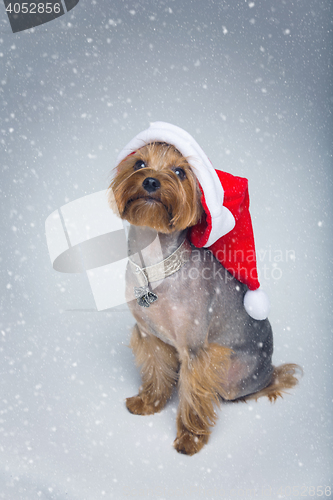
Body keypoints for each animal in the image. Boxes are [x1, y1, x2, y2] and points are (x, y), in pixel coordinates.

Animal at [108, 123, 298, 456]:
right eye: (139, 163)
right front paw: (149, 402)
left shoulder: (196, 350)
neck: (155, 266)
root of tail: (268, 367)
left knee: (244, 388)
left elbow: (194, 393)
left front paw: (190, 438)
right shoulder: (149, 335)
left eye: (180, 172)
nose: (151, 181)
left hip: (234, 375)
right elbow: (156, 371)